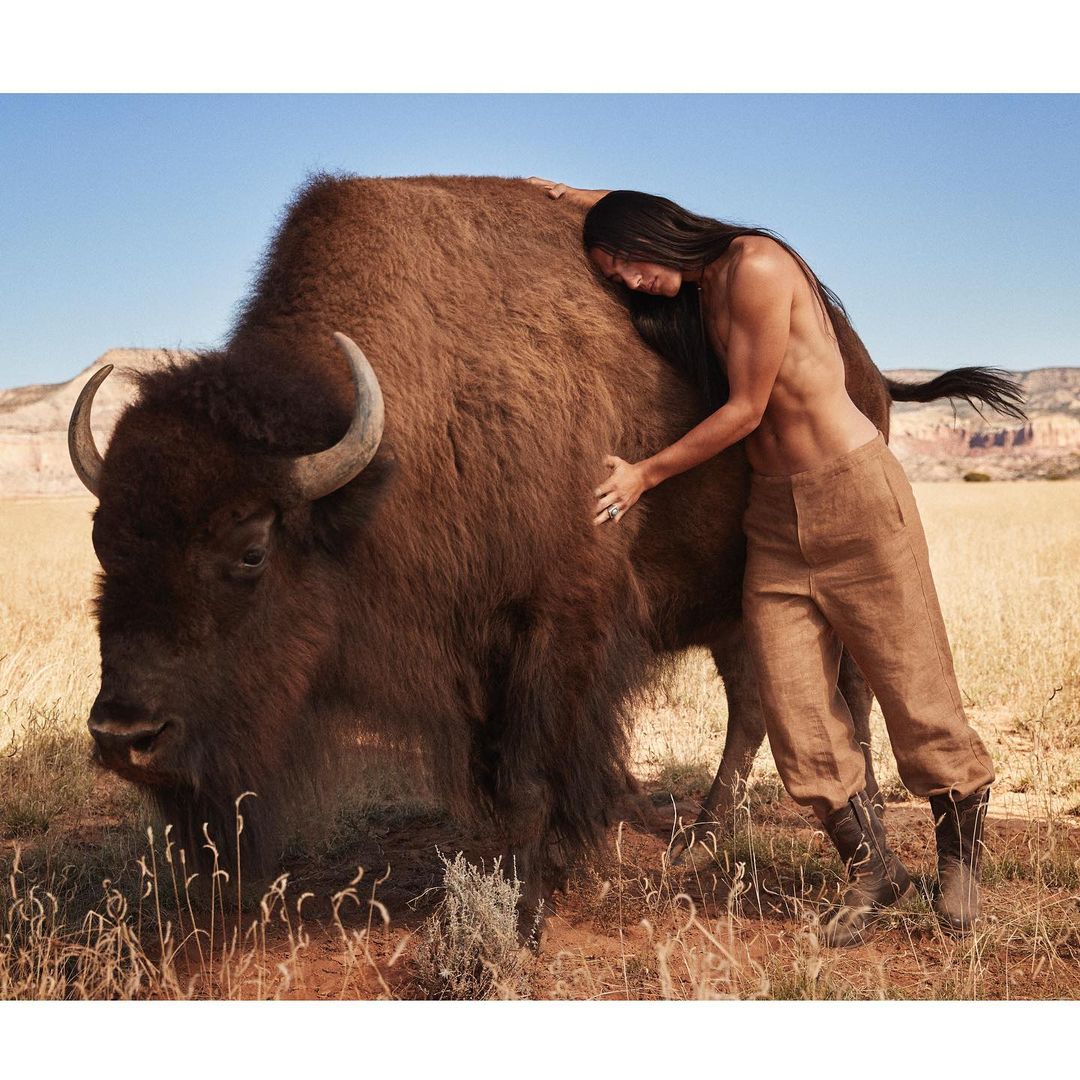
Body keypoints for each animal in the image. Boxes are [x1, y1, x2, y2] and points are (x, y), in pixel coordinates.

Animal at [70, 174, 1023, 928]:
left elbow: (531, 775)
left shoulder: (557, 622)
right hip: (734, 600)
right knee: (756, 699)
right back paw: (704, 837)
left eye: (252, 548)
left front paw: (527, 908)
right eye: (102, 538)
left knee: (846, 692)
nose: (124, 736)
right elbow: (499, 777)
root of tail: (869, 367)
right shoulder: (480, 653)